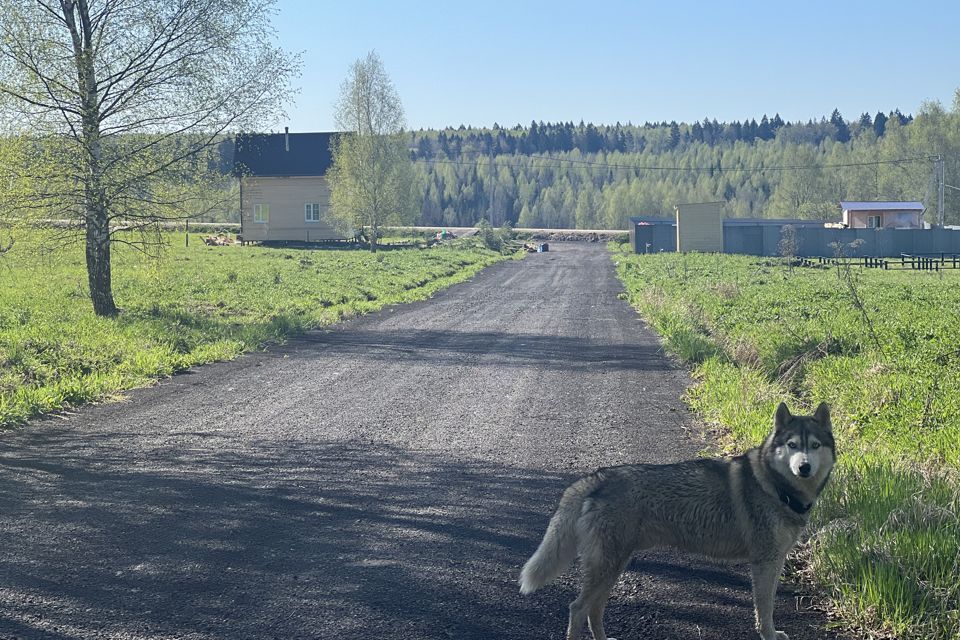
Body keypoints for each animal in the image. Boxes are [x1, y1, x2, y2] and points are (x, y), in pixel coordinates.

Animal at [520, 404, 836, 640]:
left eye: (814, 445)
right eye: (792, 445)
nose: (804, 467)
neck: (776, 487)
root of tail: (598, 477)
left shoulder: (775, 561)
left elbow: (767, 606)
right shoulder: (764, 564)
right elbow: (765, 610)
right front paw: (769, 635)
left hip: (613, 567)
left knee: (593, 611)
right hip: (606, 566)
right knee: (577, 609)